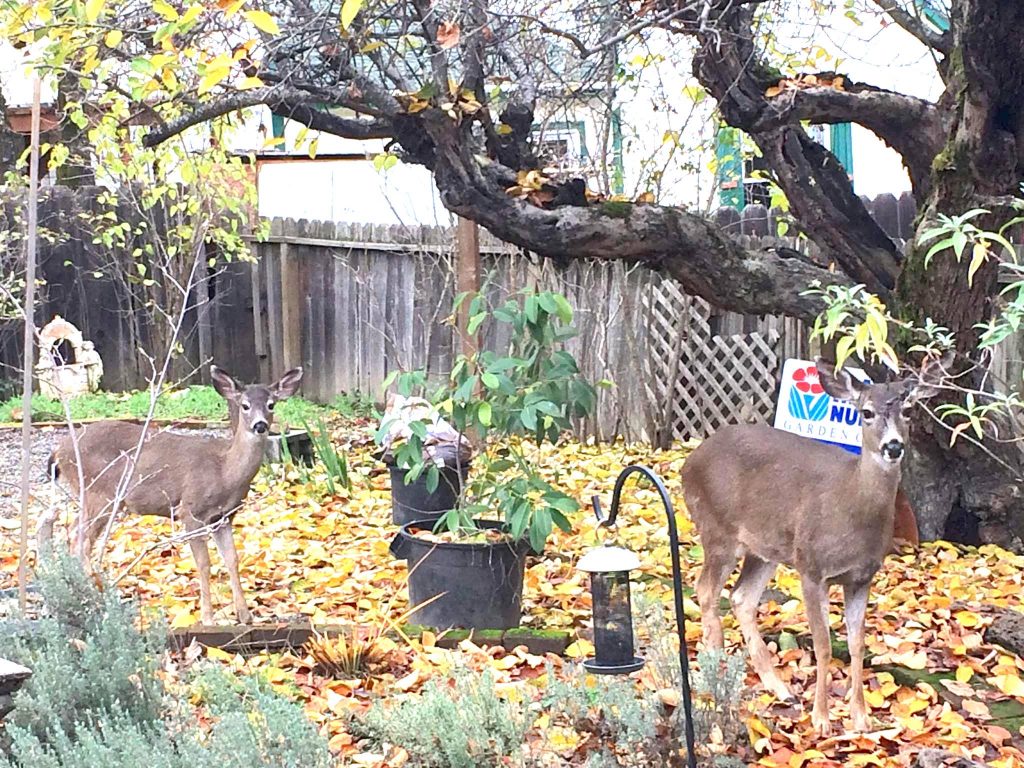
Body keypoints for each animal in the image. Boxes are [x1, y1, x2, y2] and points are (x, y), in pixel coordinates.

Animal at [44, 366, 304, 625]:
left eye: (271, 404)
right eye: (245, 405)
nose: (260, 426)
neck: (224, 471)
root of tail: (58, 451)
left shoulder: (223, 517)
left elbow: (232, 559)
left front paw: (245, 615)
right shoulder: (190, 511)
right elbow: (204, 563)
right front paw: (208, 618)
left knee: (74, 533)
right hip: (99, 493)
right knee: (79, 537)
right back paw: (91, 593)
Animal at [681, 356, 945, 736]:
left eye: (908, 410)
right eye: (866, 412)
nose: (893, 446)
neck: (851, 510)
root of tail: (689, 462)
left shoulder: (861, 578)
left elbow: (856, 644)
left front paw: (861, 717)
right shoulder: (811, 567)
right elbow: (823, 646)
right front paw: (821, 720)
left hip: (766, 548)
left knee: (741, 597)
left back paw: (779, 688)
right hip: (717, 530)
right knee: (705, 591)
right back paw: (716, 675)